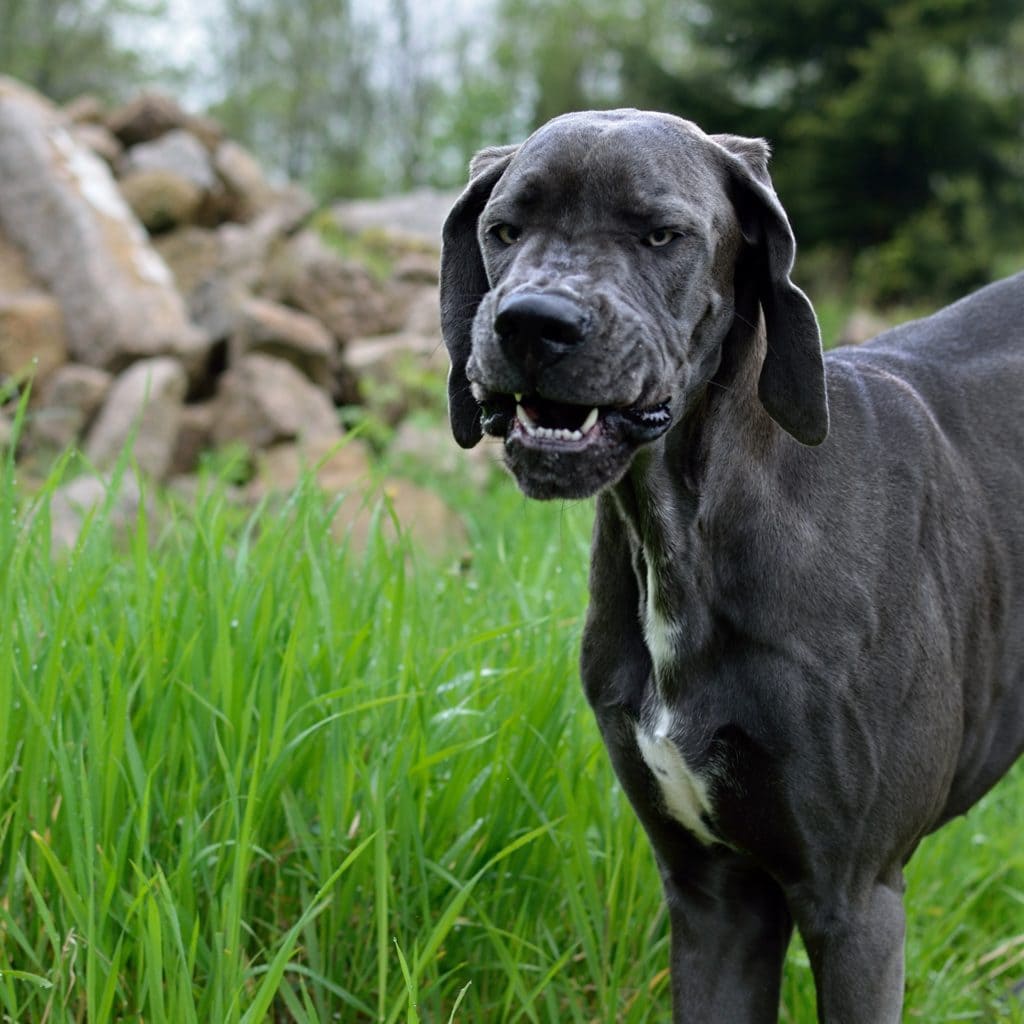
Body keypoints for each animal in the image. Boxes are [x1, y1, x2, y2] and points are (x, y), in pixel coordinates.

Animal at [440, 108, 1024, 1019]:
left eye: (660, 233)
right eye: (504, 230)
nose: (532, 322)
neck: (682, 537)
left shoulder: (855, 899)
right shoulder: (711, 893)